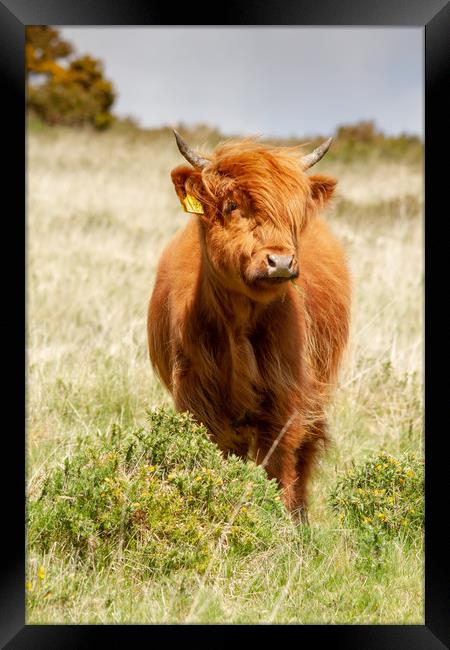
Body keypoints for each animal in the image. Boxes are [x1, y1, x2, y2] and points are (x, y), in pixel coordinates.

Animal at [149, 129, 352, 520]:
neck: (238, 324)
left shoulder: (287, 402)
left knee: (305, 457)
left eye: (295, 213)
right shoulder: (199, 403)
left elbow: (280, 470)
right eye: (231, 205)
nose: (281, 261)